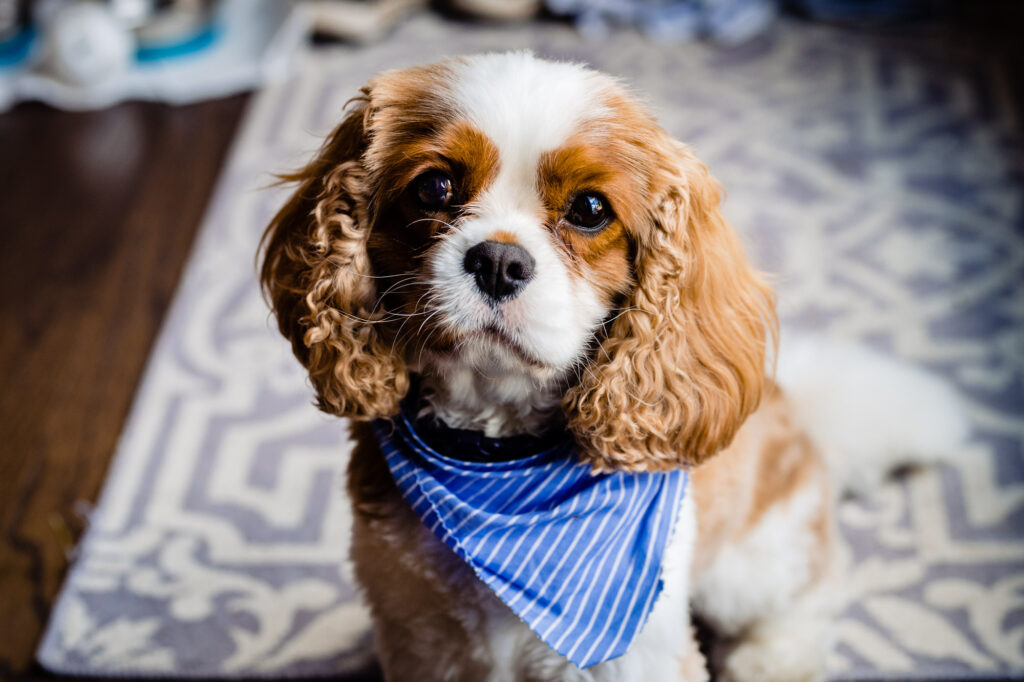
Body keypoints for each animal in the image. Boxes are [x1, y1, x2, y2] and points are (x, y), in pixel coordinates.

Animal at [258, 50, 966, 675]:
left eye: (590, 209)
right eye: (435, 186)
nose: (498, 261)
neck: (496, 454)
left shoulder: (633, 657)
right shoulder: (422, 639)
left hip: (751, 564)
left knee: (809, 593)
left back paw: (773, 660)